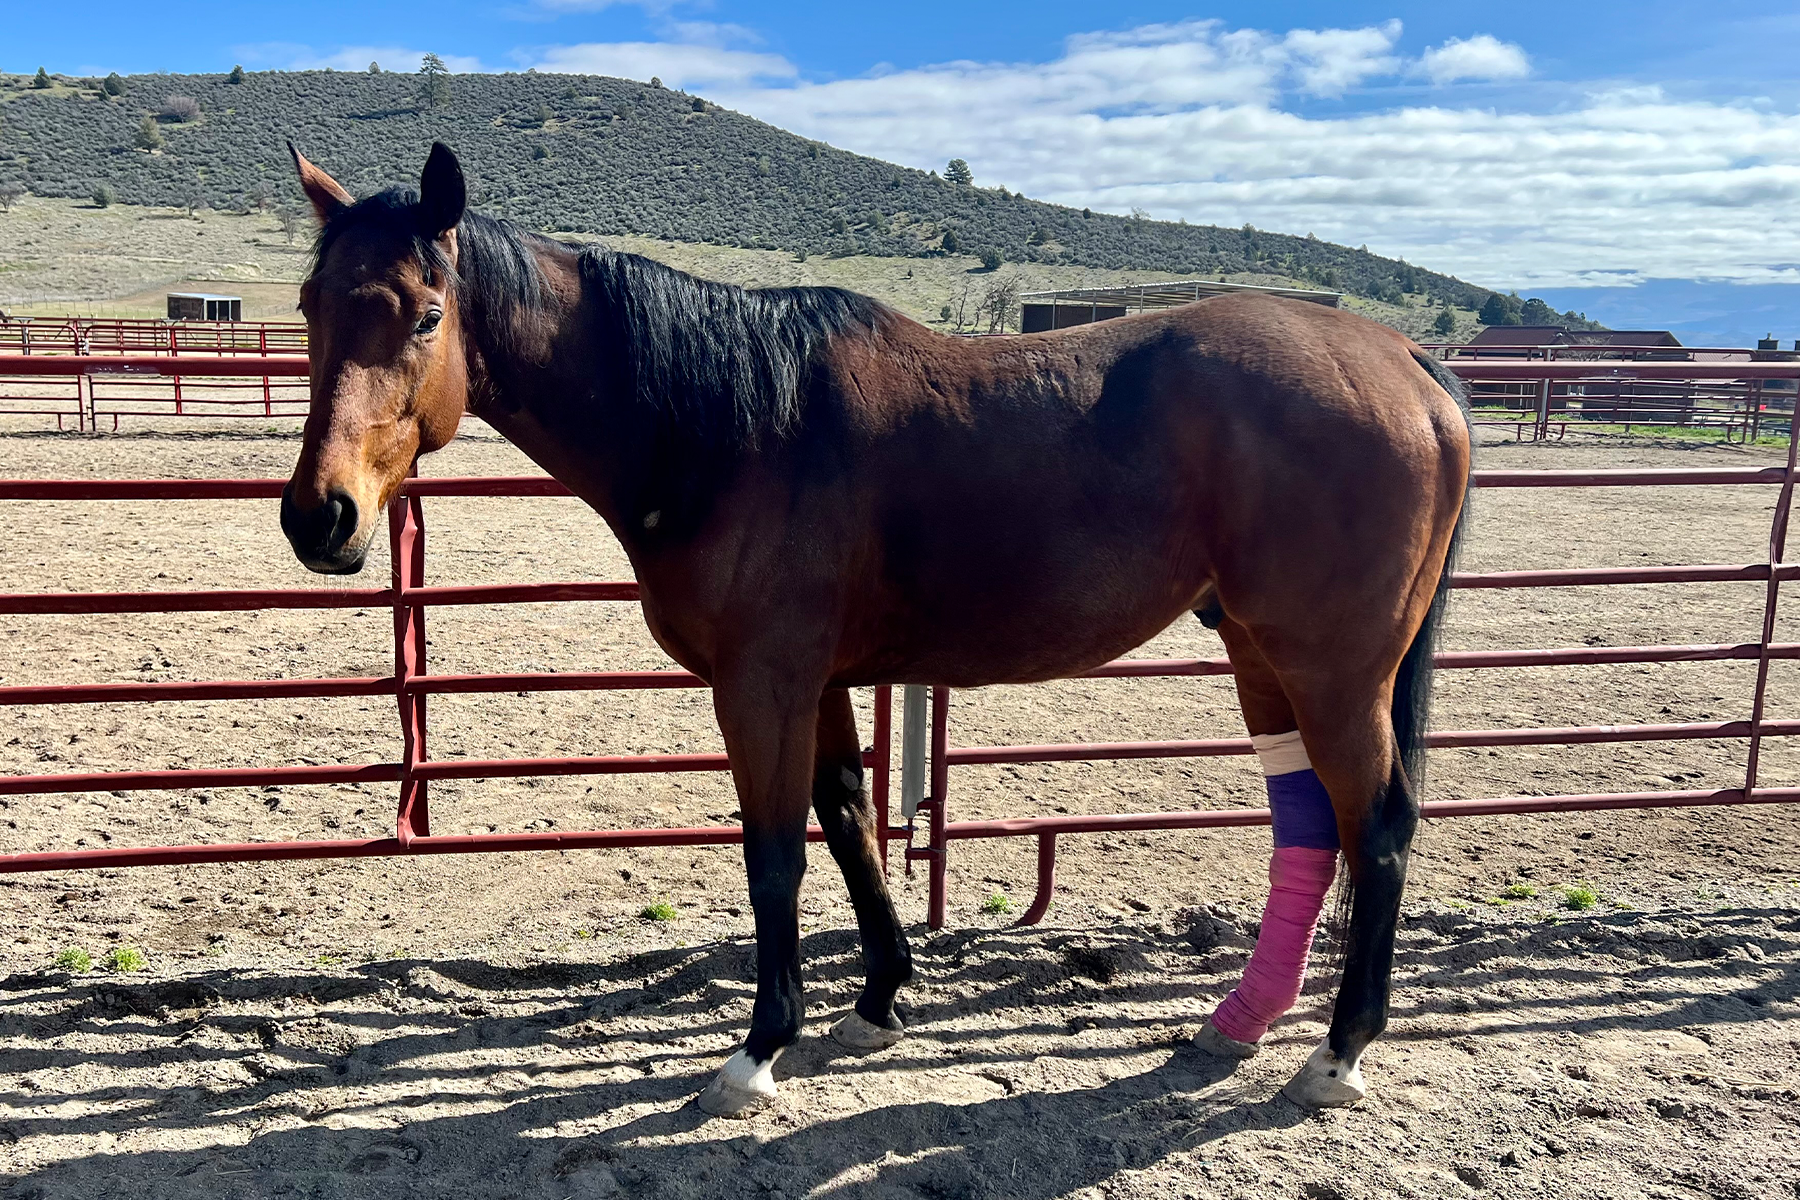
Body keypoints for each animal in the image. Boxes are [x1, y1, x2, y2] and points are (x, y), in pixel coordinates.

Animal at [278, 142, 1470, 1117]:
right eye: (311, 307)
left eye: (426, 315)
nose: (319, 517)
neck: (726, 427)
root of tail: (1404, 360)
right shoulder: (820, 681)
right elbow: (850, 821)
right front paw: (879, 999)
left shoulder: (760, 683)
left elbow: (773, 856)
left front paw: (758, 1051)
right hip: (1262, 653)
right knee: (1309, 827)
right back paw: (1239, 1025)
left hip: (1334, 670)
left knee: (1380, 826)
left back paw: (1335, 1055)